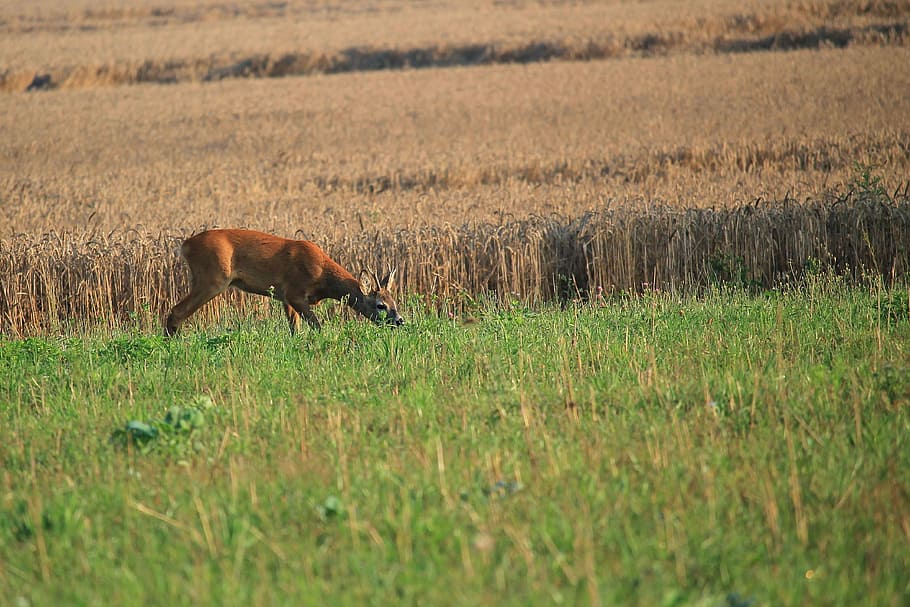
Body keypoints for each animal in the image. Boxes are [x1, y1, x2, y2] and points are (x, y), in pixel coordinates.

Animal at [164, 229, 404, 336]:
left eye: (395, 302)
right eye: (380, 305)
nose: (400, 320)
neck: (323, 278)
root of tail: (185, 246)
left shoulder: (285, 298)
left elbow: (294, 329)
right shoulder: (295, 292)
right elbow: (316, 326)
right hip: (213, 278)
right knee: (177, 311)